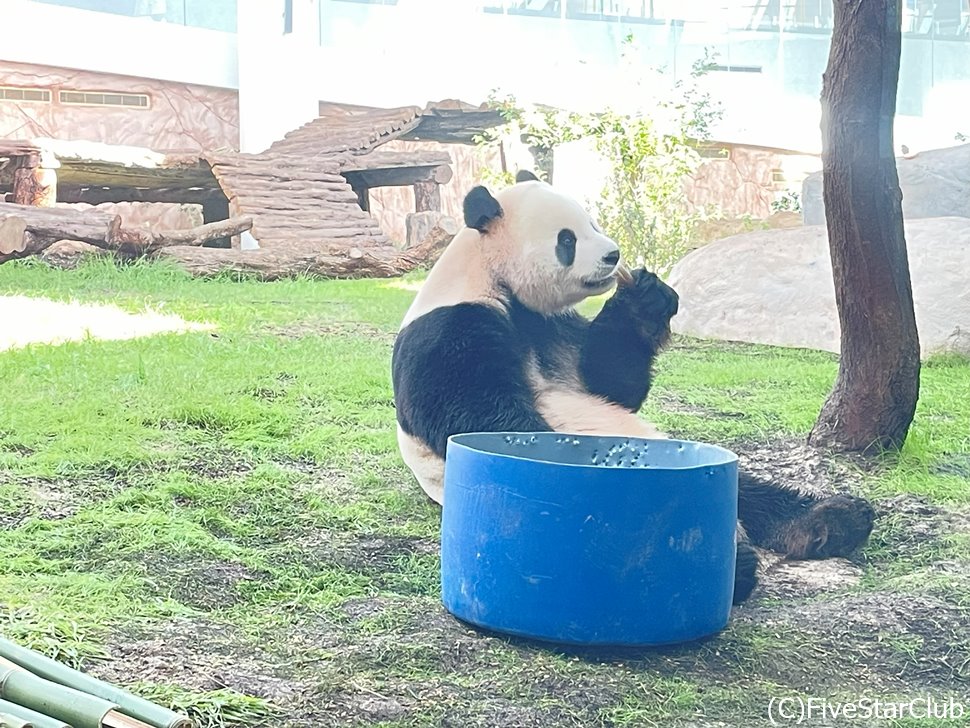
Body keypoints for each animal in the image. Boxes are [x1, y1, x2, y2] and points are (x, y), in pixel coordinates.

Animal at [390, 172, 872, 604]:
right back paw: (735, 566)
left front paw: (646, 299)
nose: (613, 254)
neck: (490, 272)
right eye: (567, 240)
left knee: (751, 491)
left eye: (593, 223)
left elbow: (611, 384)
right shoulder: (452, 327)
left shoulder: (554, 325)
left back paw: (834, 520)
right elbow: (480, 414)